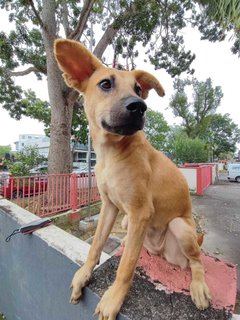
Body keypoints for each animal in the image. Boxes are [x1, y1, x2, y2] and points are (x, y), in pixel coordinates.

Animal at [54, 39, 212, 320]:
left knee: (196, 261)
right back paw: (130, 242)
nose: (139, 106)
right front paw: (84, 274)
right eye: (105, 84)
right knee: (136, 245)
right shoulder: (110, 207)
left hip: (180, 228)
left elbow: (126, 266)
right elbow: (96, 244)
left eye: (138, 89)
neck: (113, 152)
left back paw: (198, 286)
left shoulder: (140, 211)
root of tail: (159, 251)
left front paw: (113, 299)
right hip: (129, 222)